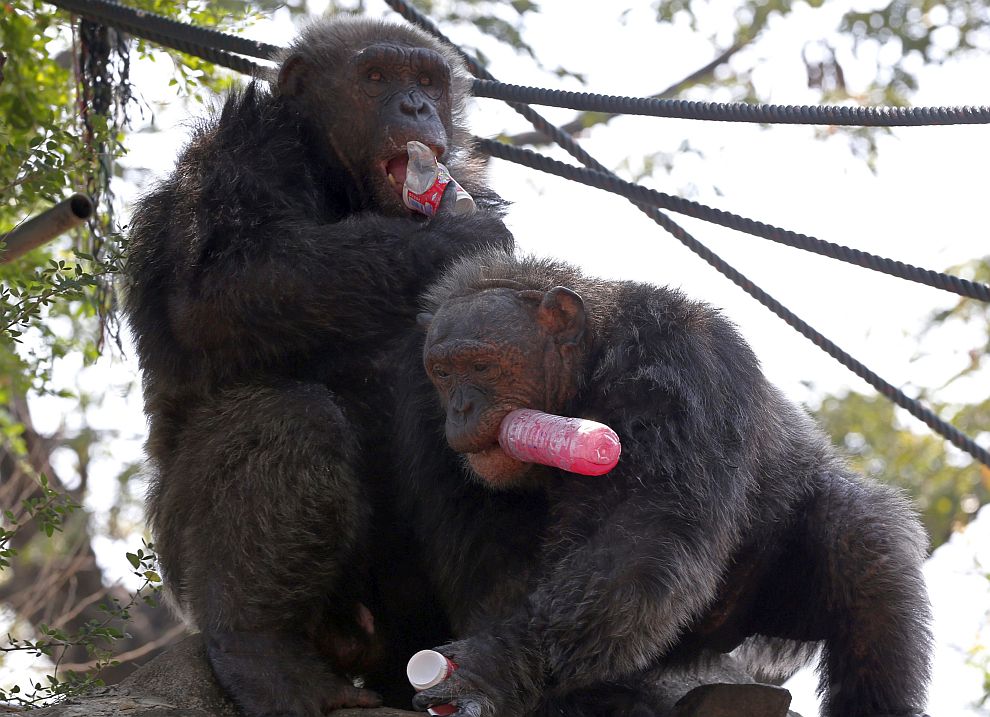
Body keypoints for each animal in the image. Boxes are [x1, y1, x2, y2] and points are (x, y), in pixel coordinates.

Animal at [120, 12, 516, 716]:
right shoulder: (240, 153)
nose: (415, 106)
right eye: (376, 76)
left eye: (426, 81)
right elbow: (221, 287)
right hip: (186, 560)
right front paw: (456, 236)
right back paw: (258, 649)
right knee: (291, 416)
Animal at [392, 250, 932, 716]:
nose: (462, 407)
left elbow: (637, 538)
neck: (590, 367)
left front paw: (489, 669)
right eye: (443, 372)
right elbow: (493, 558)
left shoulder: (686, 361)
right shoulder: (425, 417)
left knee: (860, 541)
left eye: (481, 365)